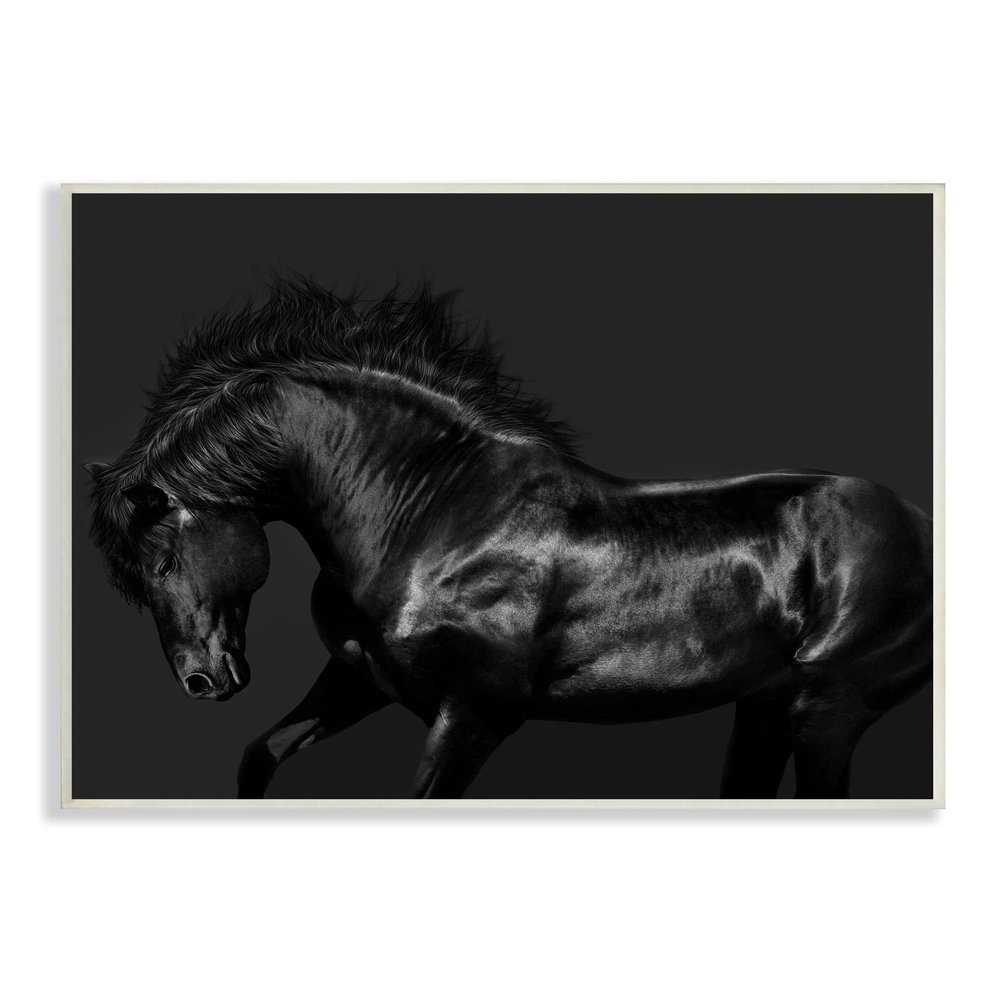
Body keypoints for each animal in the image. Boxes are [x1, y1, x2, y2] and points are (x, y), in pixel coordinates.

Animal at [85, 281, 933, 799]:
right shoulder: (358, 680)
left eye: (162, 556)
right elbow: (258, 755)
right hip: (763, 708)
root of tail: (919, 523)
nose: (202, 681)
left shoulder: (476, 714)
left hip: (827, 710)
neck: (436, 520)